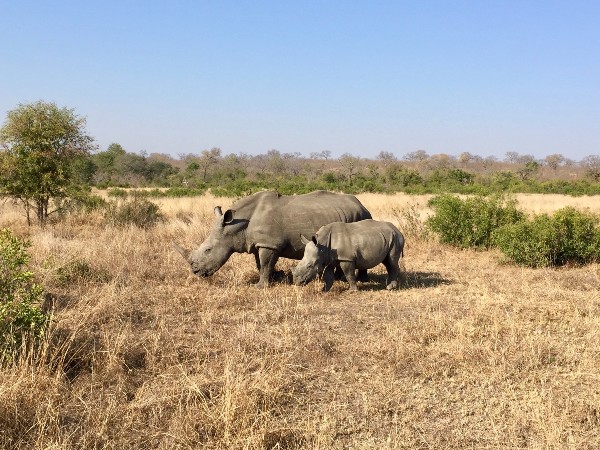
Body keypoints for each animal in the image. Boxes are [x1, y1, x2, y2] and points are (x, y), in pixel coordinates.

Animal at [171, 191, 372, 288]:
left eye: (208, 250)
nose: (195, 272)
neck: (235, 227)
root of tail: (361, 204)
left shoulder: (269, 244)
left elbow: (266, 263)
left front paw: (260, 286)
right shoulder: (259, 243)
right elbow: (260, 264)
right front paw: (272, 280)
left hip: (362, 215)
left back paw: (361, 281)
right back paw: (340, 278)